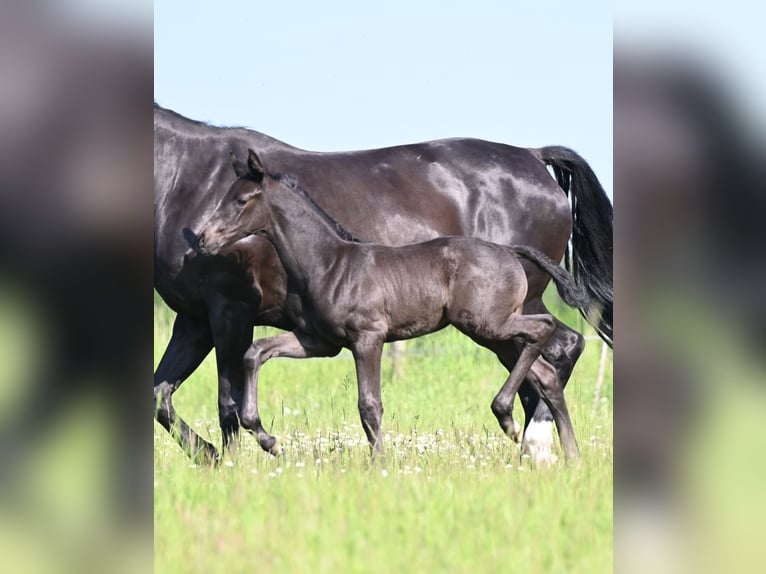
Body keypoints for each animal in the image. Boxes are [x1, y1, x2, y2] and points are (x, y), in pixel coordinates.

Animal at [154, 103, 612, 464]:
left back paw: (531, 441)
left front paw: (232, 464)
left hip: (499, 317)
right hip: (503, 320)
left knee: (557, 347)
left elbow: (229, 401)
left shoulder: (232, 309)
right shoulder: (202, 320)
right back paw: (547, 452)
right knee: (549, 365)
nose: (202, 240)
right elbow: (164, 393)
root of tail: (535, 156)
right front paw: (220, 454)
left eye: (242, 200)